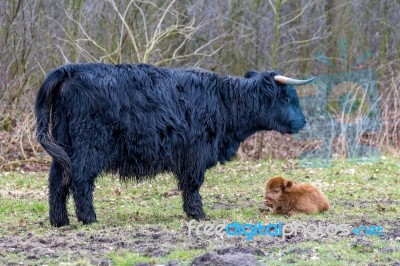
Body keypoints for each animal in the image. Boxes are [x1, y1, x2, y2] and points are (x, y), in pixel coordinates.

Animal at [34, 62, 314, 227]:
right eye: (288, 97)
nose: (303, 121)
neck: (225, 103)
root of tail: (71, 70)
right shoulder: (195, 152)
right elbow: (192, 185)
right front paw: (198, 213)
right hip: (90, 145)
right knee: (80, 179)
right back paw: (89, 218)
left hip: (64, 143)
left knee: (57, 179)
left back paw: (59, 220)